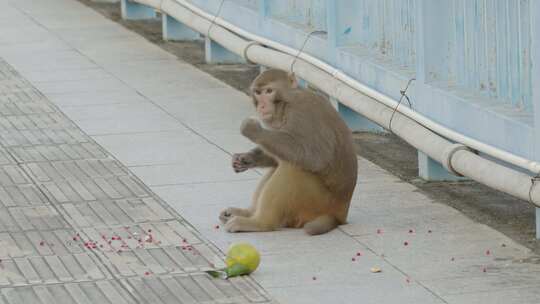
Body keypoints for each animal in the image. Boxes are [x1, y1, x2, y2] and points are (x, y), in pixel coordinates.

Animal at [219, 69, 358, 235]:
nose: (262, 106)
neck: (286, 105)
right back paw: (248, 213)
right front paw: (246, 159)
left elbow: (315, 158)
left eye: (269, 91)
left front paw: (254, 130)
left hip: (318, 202)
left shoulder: (301, 112)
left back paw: (260, 223)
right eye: (258, 93)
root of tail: (340, 215)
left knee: (293, 167)